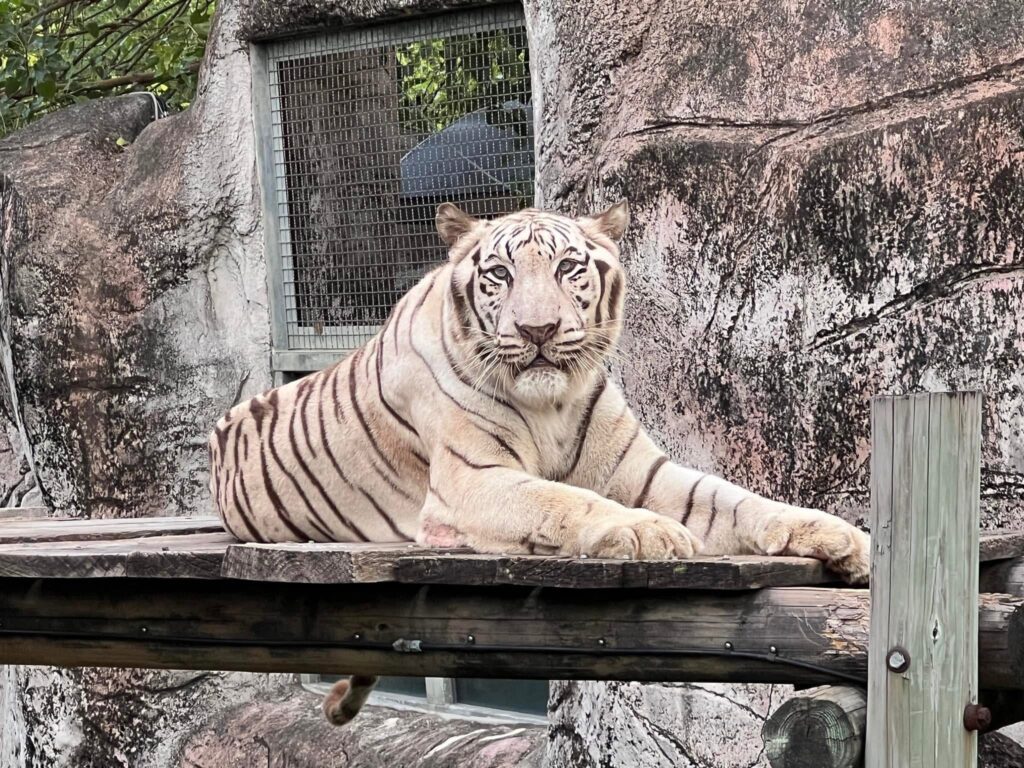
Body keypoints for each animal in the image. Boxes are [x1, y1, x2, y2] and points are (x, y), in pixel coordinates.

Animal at [208, 200, 871, 726]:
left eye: (567, 268)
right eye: (500, 274)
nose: (538, 330)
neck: (551, 400)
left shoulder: (643, 473)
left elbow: (735, 499)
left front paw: (846, 538)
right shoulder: (472, 480)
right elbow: (562, 498)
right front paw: (645, 530)